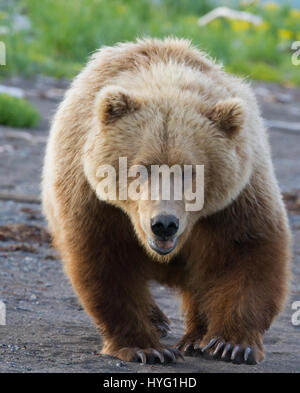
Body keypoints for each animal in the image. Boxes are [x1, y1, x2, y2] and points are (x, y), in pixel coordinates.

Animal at [42, 37, 290, 364]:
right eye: (141, 168)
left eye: (189, 171)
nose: (164, 224)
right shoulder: (96, 202)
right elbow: (105, 263)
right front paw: (146, 348)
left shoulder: (236, 201)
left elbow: (246, 252)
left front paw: (231, 344)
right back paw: (159, 321)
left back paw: (195, 338)